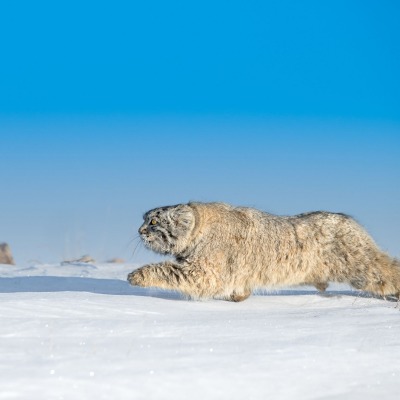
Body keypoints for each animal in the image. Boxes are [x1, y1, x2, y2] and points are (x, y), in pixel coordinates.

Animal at [126, 203, 400, 300]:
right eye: (144, 219)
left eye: (153, 221)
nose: (139, 230)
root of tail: (351, 221)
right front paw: (238, 296)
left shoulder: (204, 272)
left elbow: (166, 271)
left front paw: (137, 275)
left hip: (363, 267)